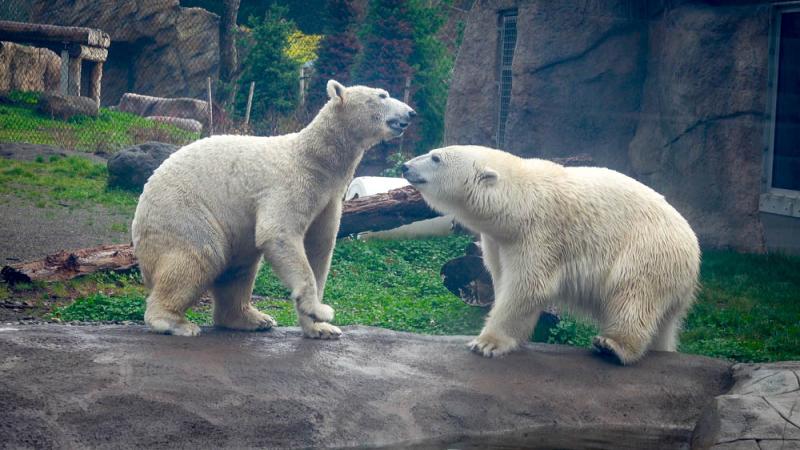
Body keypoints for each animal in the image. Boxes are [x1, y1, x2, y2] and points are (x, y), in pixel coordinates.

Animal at [132, 80, 416, 338]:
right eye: (382, 95)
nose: (411, 113)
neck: (316, 160)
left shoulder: (328, 198)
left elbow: (320, 248)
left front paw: (320, 327)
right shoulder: (290, 184)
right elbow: (279, 233)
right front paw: (322, 311)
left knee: (240, 268)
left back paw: (252, 318)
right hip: (183, 212)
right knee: (198, 256)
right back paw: (175, 322)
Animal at [404, 146, 696, 364]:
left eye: (435, 157)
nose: (405, 166)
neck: (518, 201)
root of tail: (693, 249)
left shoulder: (539, 233)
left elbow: (529, 286)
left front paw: (486, 343)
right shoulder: (498, 241)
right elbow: (500, 277)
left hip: (647, 250)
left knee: (633, 295)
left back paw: (612, 345)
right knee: (662, 322)